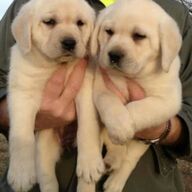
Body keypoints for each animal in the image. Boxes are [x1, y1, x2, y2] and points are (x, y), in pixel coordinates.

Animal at [7, 0, 104, 192]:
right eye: (49, 22)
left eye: (80, 23)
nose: (69, 42)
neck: (54, 65)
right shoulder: (22, 94)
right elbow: (21, 135)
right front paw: (21, 173)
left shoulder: (85, 88)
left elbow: (87, 125)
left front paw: (89, 162)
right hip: (44, 146)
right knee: (46, 176)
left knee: (84, 179)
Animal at [90, 0, 182, 191]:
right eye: (108, 31)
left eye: (139, 36)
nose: (114, 55)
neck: (133, 76)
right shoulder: (102, 88)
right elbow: (111, 104)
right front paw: (119, 126)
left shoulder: (168, 100)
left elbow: (140, 107)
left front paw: (124, 126)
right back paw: (113, 159)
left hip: (142, 143)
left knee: (129, 159)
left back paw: (115, 181)